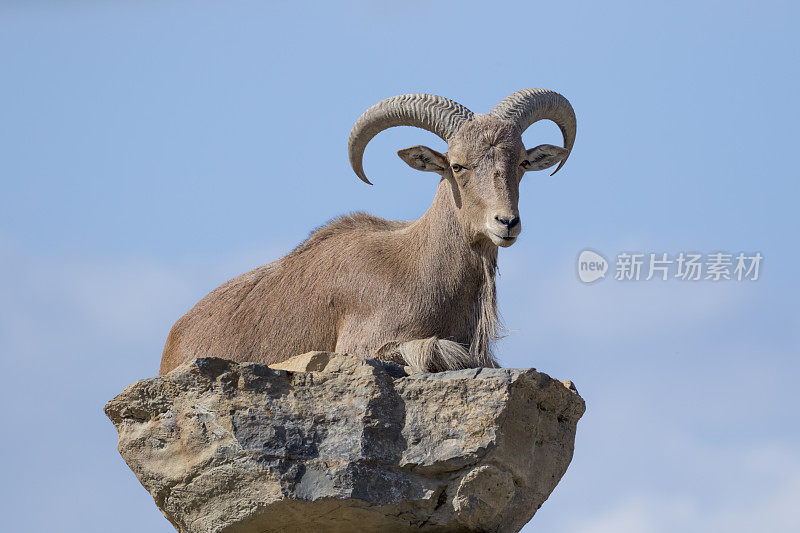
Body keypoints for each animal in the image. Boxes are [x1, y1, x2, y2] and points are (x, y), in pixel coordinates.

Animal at [161, 88, 576, 374]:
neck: (419, 267)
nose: (506, 223)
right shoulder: (365, 344)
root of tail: (174, 338)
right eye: (457, 165)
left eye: (521, 162)